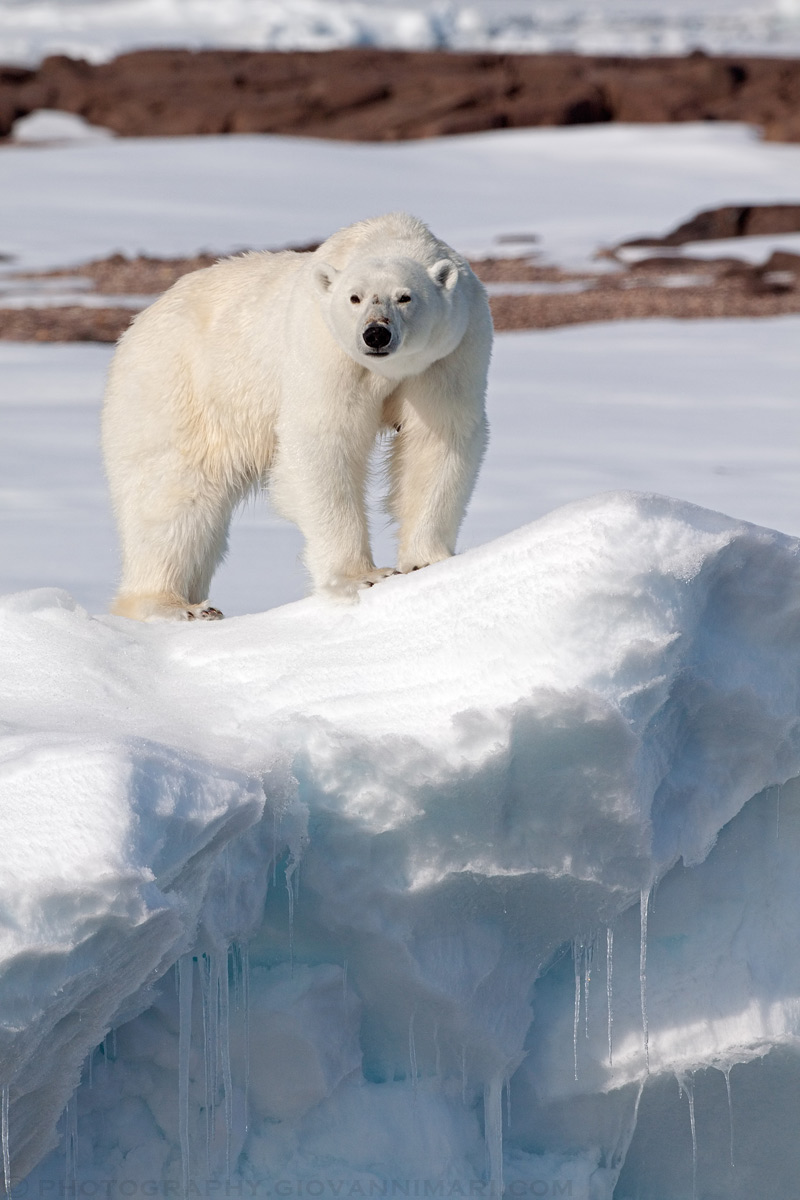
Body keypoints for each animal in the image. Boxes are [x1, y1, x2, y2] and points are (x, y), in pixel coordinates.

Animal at [101, 212, 493, 621]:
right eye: (354, 297)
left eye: (405, 296)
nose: (376, 334)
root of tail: (139, 321)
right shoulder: (324, 348)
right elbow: (324, 442)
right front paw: (361, 577)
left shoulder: (452, 352)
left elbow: (437, 441)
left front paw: (426, 561)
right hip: (178, 387)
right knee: (170, 497)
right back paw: (176, 606)